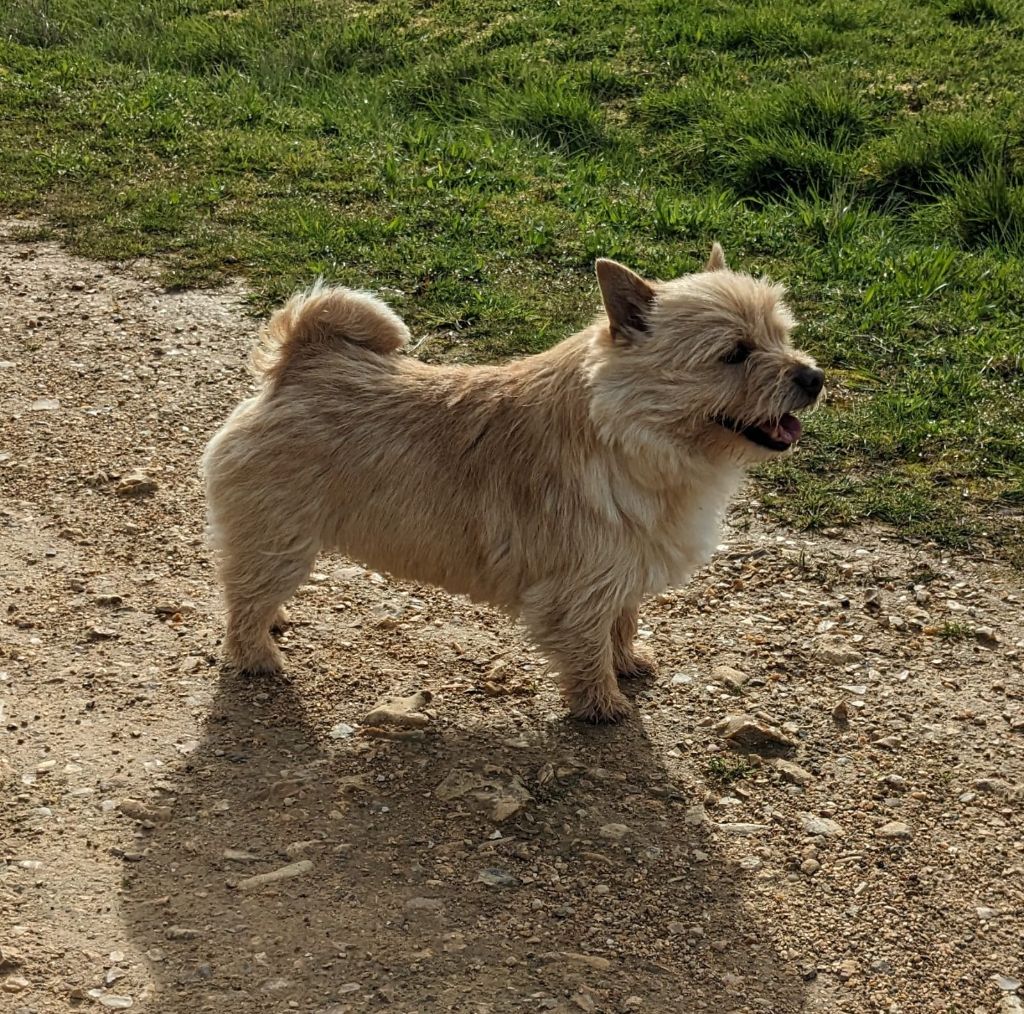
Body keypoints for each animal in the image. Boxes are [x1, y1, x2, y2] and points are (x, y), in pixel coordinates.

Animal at [199, 245, 823, 721]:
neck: (632, 436)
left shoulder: (623, 568)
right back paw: (257, 655)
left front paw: (627, 662)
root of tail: (298, 364)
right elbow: (588, 646)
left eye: (782, 335)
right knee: (244, 598)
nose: (814, 376)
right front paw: (603, 704)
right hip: (280, 539)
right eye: (734, 353)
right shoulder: (579, 586)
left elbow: (621, 622)